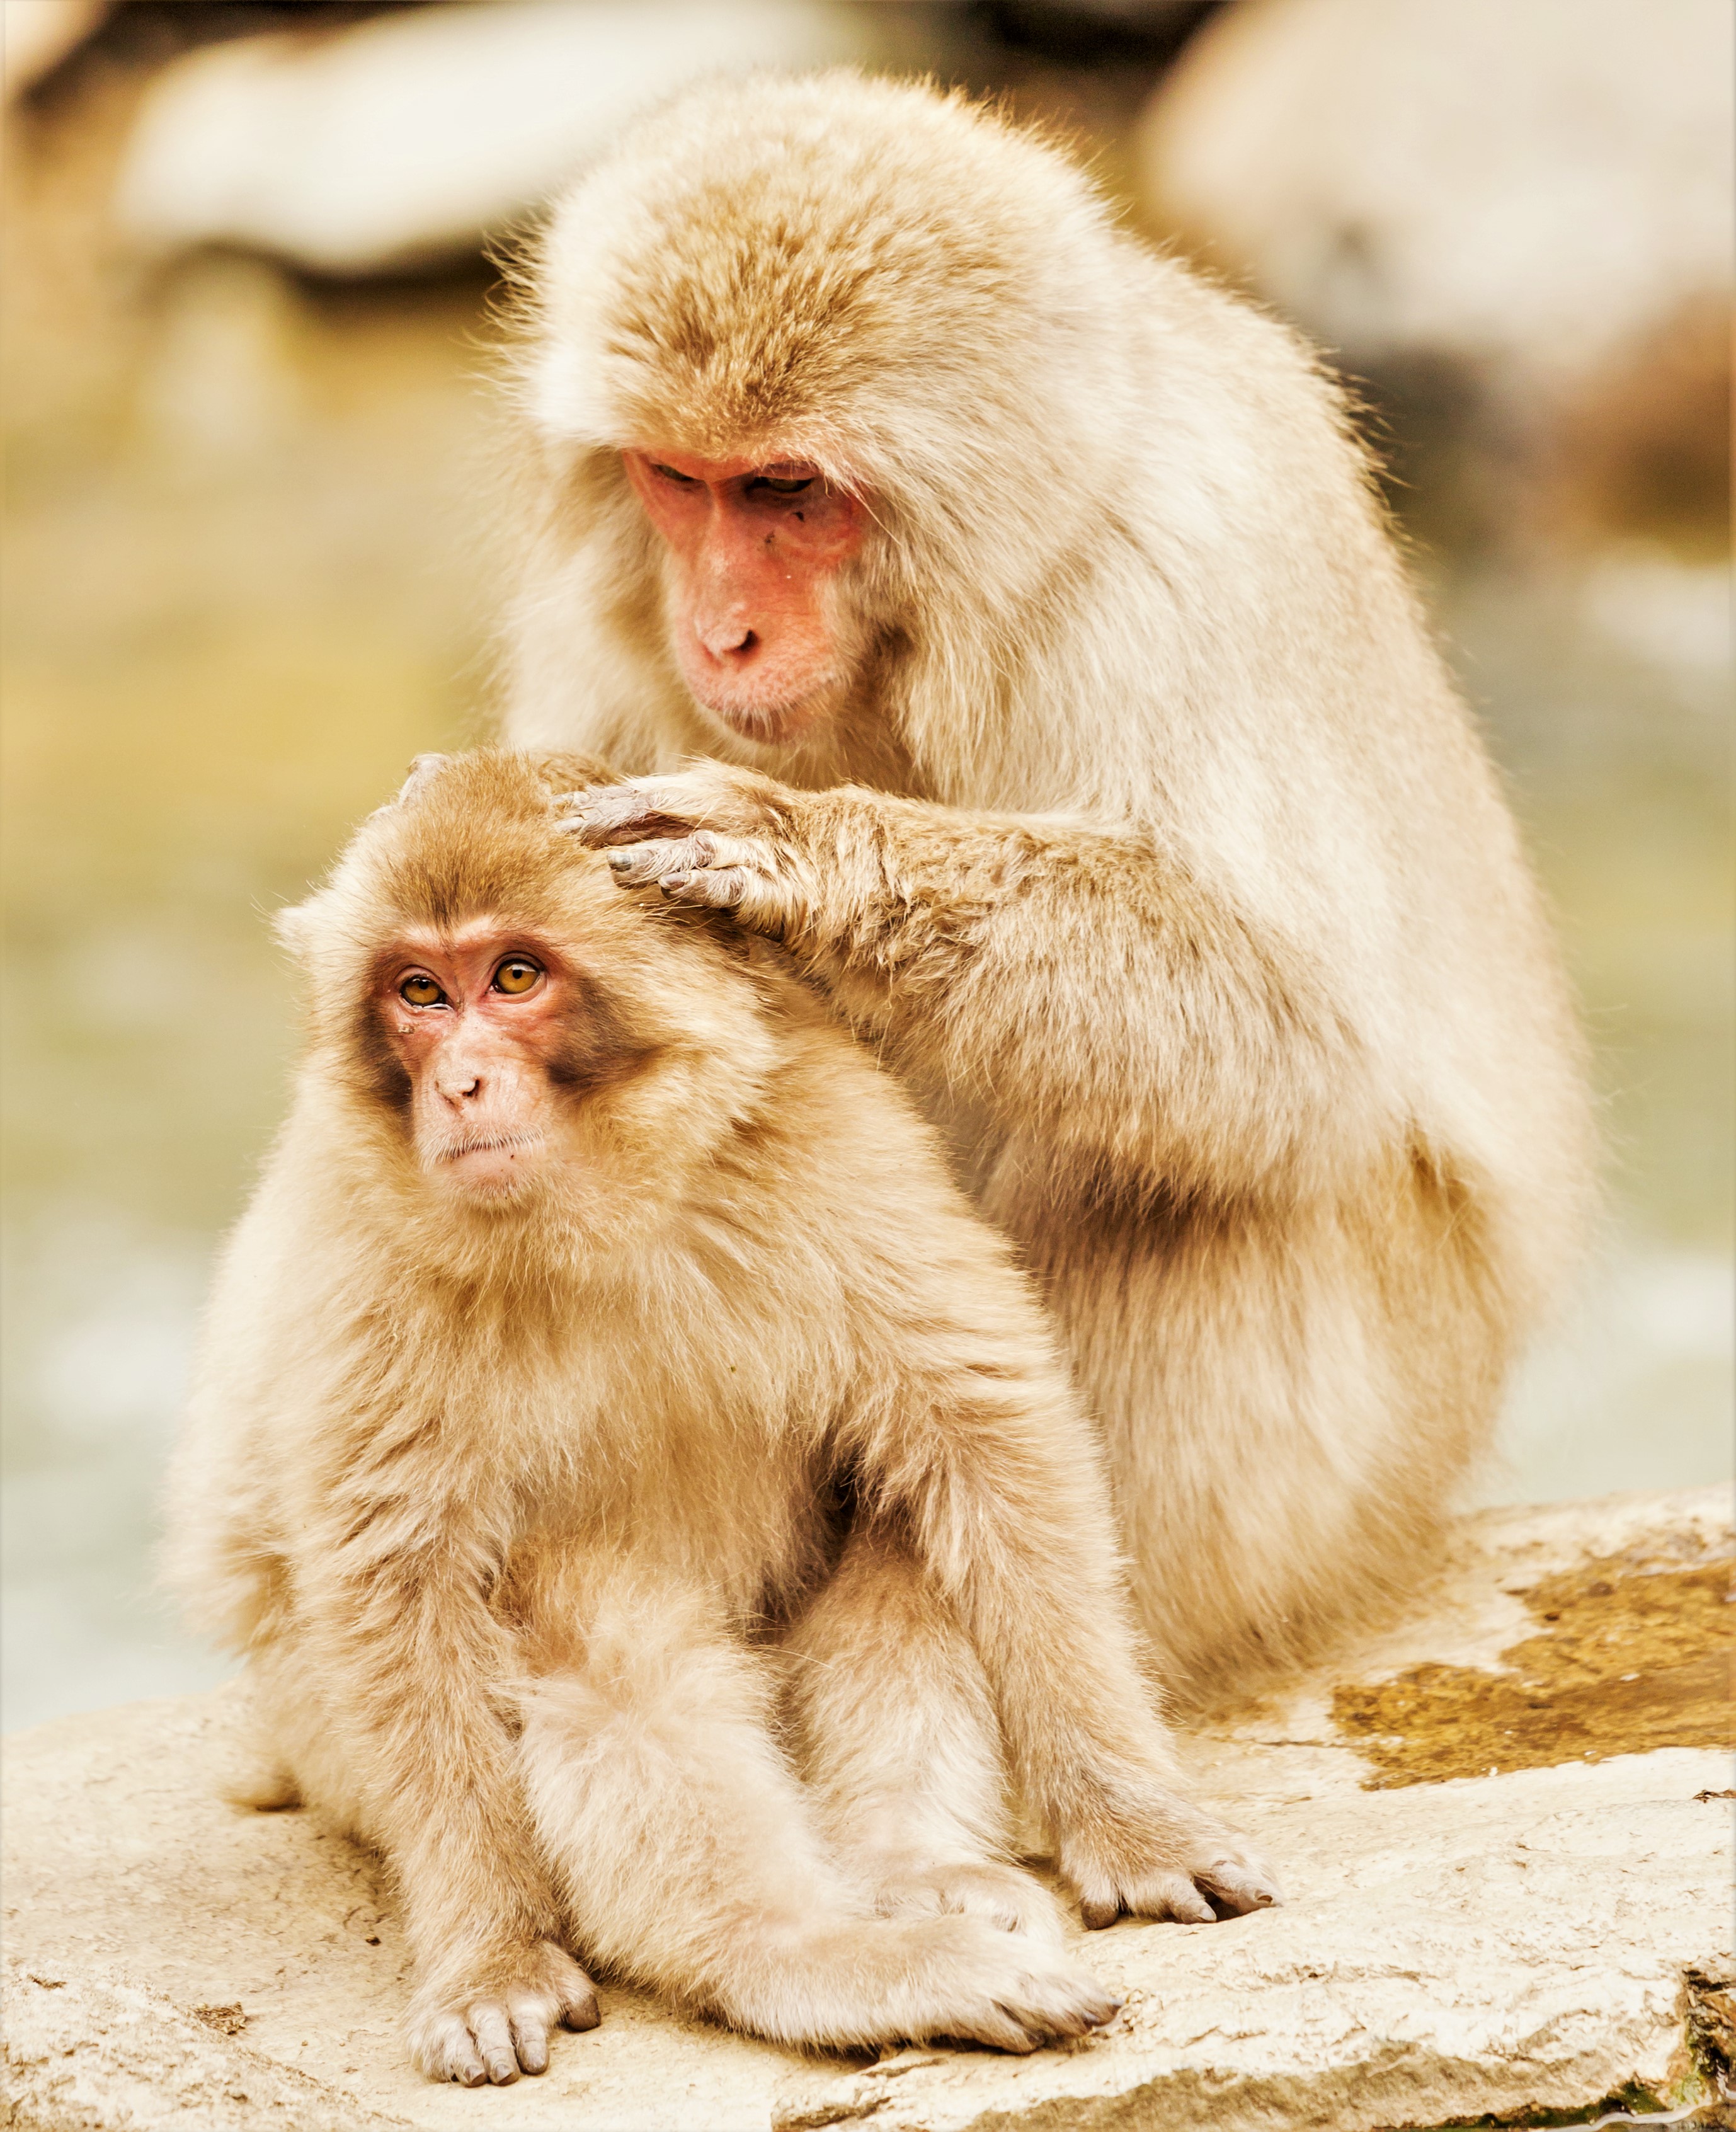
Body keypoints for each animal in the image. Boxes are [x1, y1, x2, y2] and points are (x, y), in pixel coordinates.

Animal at [164, 748, 1279, 2088]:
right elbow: (400, 1583)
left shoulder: (833, 1137)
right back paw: (808, 1956)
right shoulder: (364, 1246)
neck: (609, 1206)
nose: (460, 1083)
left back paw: (908, 1872)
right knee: (578, 1617)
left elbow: (978, 1425)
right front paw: (489, 1954)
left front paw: (1128, 1815)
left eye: (515, 976)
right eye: (417, 990)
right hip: (323, 1738)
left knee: (906, 1507)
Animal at [497, 70, 1596, 1708]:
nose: (721, 631)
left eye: (787, 492)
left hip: (1375, 1458)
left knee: (1198, 1174)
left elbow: (1294, 1022)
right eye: (679, 483)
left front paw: (797, 855)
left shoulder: (1185, 560)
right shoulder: (604, 607)